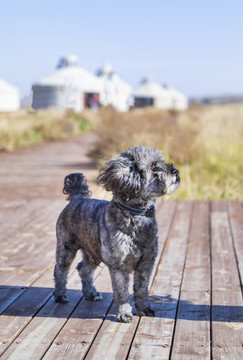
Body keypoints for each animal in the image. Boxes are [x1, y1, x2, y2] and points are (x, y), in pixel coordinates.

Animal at [54, 145, 179, 322]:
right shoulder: (118, 265)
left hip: (93, 252)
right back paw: (60, 295)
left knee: (83, 268)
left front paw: (145, 309)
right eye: (154, 167)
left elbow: (141, 290)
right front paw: (124, 313)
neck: (136, 216)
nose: (176, 171)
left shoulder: (146, 263)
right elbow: (122, 292)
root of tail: (77, 198)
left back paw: (91, 293)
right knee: (60, 270)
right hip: (66, 248)